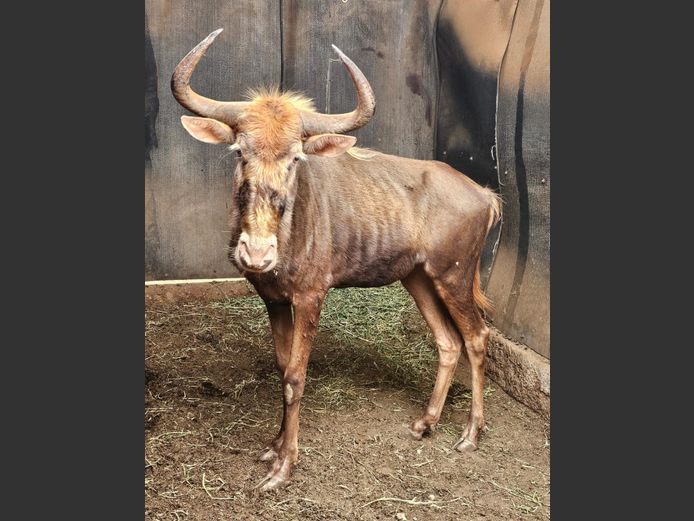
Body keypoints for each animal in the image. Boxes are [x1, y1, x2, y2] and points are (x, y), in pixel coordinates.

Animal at [171, 29, 501, 491]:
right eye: (239, 151)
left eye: (295, 157)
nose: (256, 254)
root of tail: (484, 195)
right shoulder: (274, 300)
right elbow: (282, 366)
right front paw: (273, 446)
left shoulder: (311, 297)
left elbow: (296, 377)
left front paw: (283, 467)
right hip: (418, 279)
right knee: (448, 342)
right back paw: (426, 423)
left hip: (452, 277)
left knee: (476, 337)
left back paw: (471, 434)